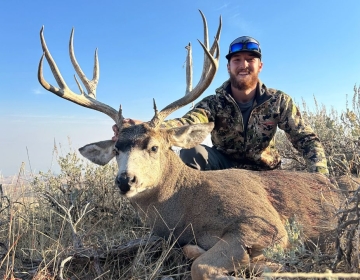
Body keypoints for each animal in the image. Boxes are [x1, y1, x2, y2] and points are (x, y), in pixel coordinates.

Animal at [38, 9, 350, 278]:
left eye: (154, 146)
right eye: (116, 149)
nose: (126, 180)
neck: (188, 206)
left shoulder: (266, 224)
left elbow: (200, 266)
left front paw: (266, 266)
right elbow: (192, 253)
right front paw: (258, 263)